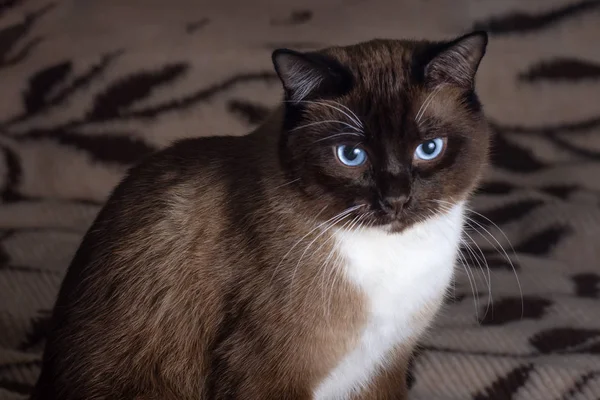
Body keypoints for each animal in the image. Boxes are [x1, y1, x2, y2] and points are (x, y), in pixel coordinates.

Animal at [31, 29, 488, 398]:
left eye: (428, 149)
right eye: (351, 155)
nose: (396, 199)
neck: (393, 260)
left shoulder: (384, 368)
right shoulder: (270, 375)